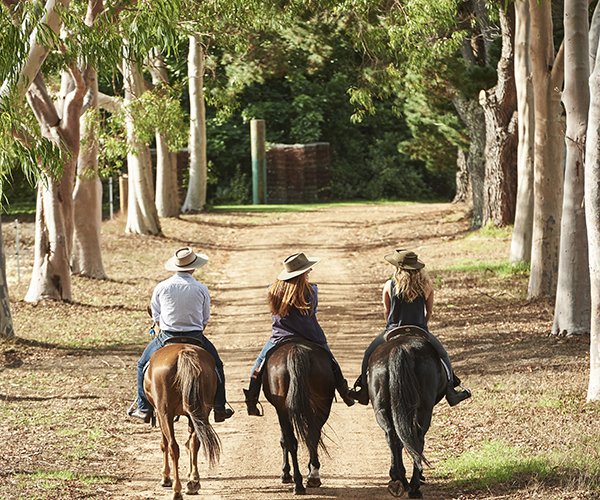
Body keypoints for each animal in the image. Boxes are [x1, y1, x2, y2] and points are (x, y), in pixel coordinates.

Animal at [144, 344, 221, 500]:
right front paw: (192, 477)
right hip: (201, 410)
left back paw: (176, 490)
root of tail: (183, 352)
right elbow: (190, 444)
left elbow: (164, 444)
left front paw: (165, 477)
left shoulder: (159, 413)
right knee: (194, 442)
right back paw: (193, 483)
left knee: (173, 447)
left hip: (165, 412)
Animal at [262, 338, 338, 494]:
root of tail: (295, 351)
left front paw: (285, 473)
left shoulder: (280, 410)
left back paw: (298, 483)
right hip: (323, 404)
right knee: (312, 436)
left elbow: (283, 440)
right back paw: (313, 476)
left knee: (292, 441)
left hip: (284, 409)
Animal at [368, 326, 448, 498]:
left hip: (382, 408)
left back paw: (398, 480)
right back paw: (414, 486)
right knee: (418, 438)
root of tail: (401, 347)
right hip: (424, 408)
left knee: (392, 436)